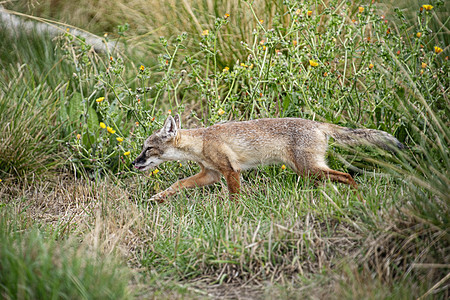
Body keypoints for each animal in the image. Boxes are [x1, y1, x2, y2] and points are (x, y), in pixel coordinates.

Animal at [131, 114, 404, 202]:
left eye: (148, 149)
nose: (133, 163)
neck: (202, 141)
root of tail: (317, 123)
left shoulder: (231, 171)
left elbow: (235, 197)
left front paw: (234, 215)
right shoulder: (210, 174)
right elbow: (177, 184)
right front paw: (158, 197)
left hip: (309, 169)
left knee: (347, 175)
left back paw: (359, 197)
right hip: (310, 171)